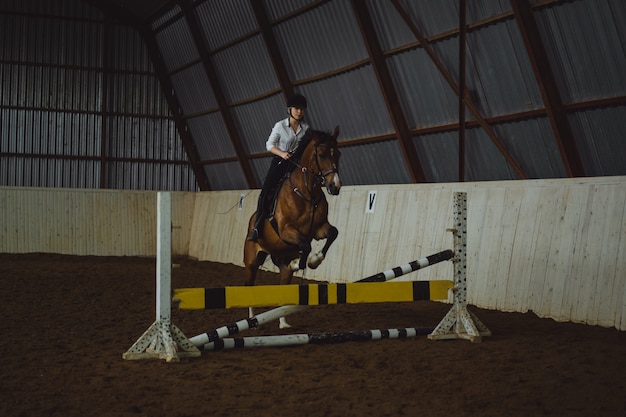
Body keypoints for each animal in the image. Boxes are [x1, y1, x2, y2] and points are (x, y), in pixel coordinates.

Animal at [244, 125, 342, 326]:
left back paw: (283, 323)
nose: (335, 187)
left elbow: (333, 233)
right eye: (321, 155)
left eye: (338, 154)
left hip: (280, 258)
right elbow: (306, 245)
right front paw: (305, 262)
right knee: (250, 285)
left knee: (284, 280)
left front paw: (314, 260)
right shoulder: (286, 231)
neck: (307, 192)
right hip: (251, 261)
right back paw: (252, 320)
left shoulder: (319, 228)